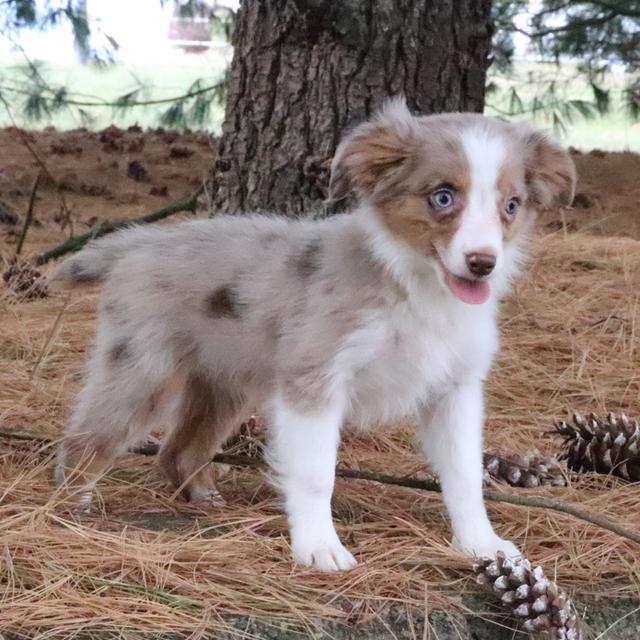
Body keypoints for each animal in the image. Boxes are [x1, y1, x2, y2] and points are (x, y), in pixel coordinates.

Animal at [53, 100, 576, 568]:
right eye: (443, 196)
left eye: (511, 205)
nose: (483, 264)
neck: (413, 286)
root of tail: (139, 241)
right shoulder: (315, 380)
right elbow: (314, 474)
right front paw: (319, 548)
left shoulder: (456, 390)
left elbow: (466, 475)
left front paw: (481, 546)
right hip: (142, 371)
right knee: (84, 437)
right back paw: (70, 505)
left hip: (223, 384)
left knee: (177, 449)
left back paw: (201, 496)